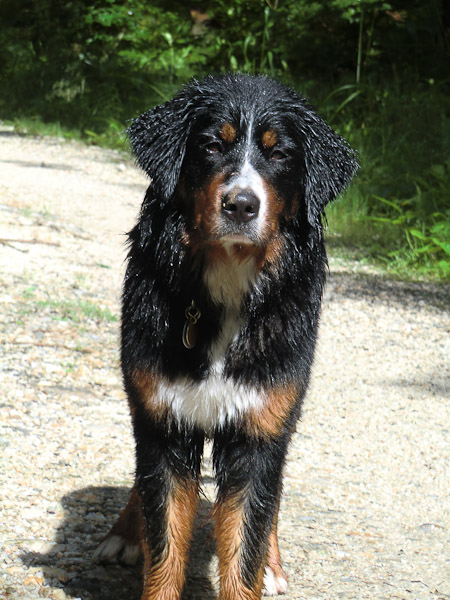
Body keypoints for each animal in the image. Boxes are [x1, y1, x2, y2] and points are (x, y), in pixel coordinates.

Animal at [95, 73, 357, 599]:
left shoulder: (260, 426)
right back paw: (124, 535)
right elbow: (163, 542)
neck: (229, 284)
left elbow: (246, 542)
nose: (242, 204)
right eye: (212, 146)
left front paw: (261, 565)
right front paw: (141, 542)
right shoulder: (165, 419)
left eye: (280, 155)